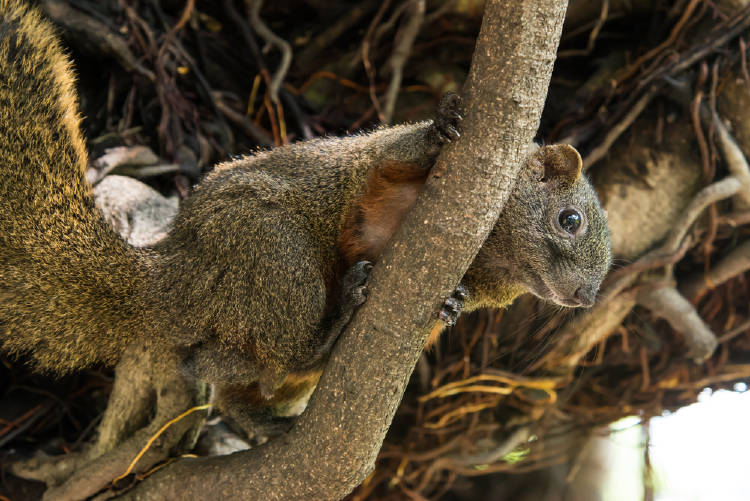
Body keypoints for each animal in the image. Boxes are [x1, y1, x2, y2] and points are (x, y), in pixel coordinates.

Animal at [0, 0, 612, 430]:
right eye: (570, 220)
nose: (585, 297)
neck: (491, 251)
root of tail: (181, 268)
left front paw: (454, 304)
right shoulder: (376, 170)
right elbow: (389, 160)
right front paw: (440, 130)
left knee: (227, 370)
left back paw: (256, 414)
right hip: (271, 253)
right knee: (289, 339)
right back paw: (333, 321)